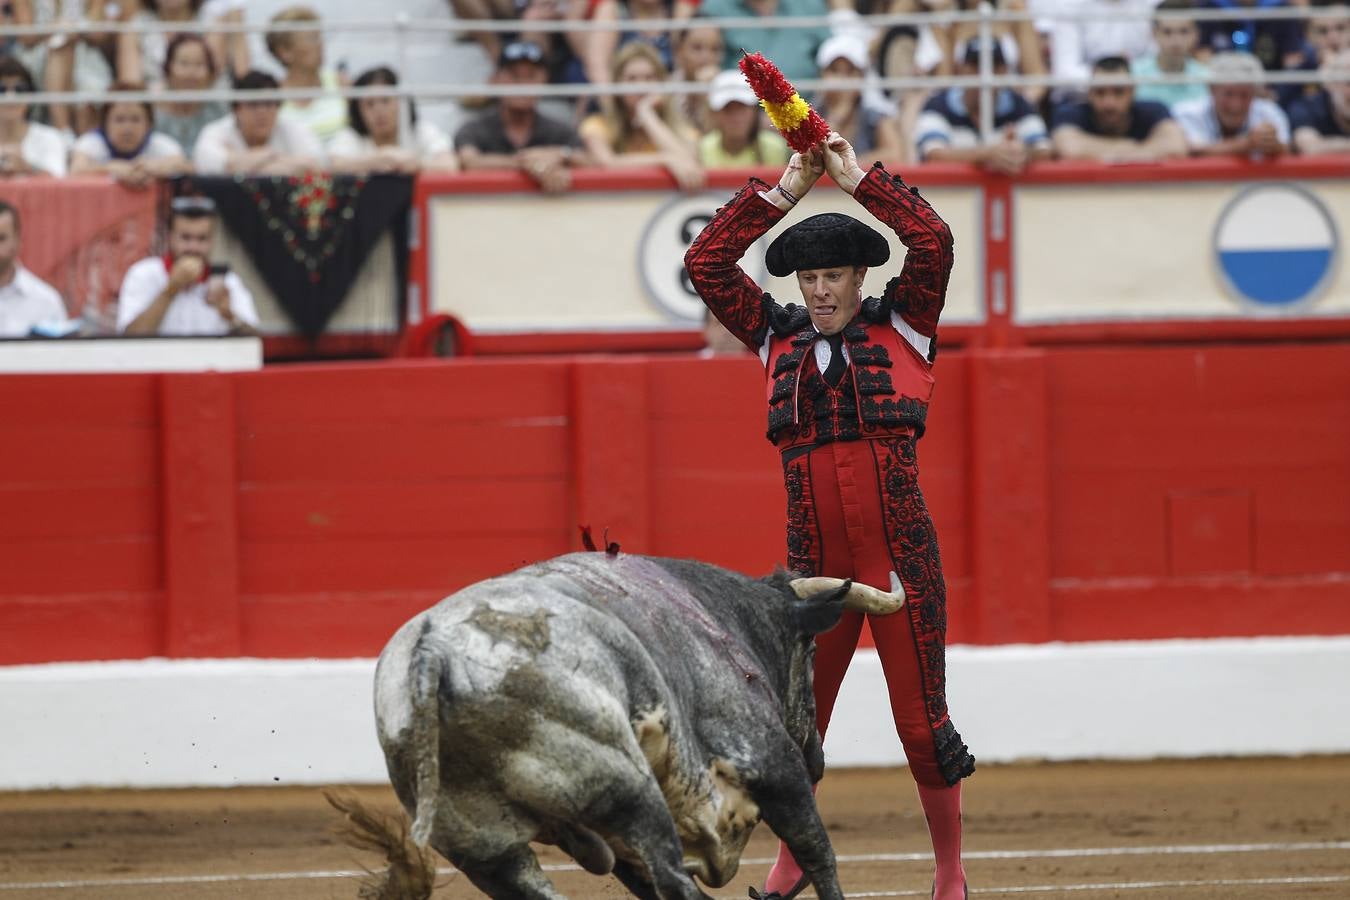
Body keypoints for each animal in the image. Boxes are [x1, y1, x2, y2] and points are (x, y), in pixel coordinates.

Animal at [369, 550, 901, 900]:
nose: (818, 759)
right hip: (629, 792)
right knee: (672, 878)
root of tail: (435, 653)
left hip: (486, 848)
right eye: (810, 651)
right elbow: (818, 851)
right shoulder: (769, 760)